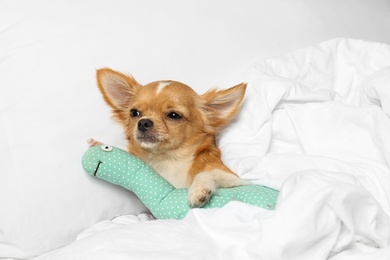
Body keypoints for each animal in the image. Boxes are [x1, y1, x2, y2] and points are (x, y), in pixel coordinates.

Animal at [93, 68, 247, 207]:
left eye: (174, 115)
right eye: (134, 113)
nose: (143, 122)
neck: (167, 160)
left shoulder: (240, 181)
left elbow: (208, 173)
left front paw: (199, 190)